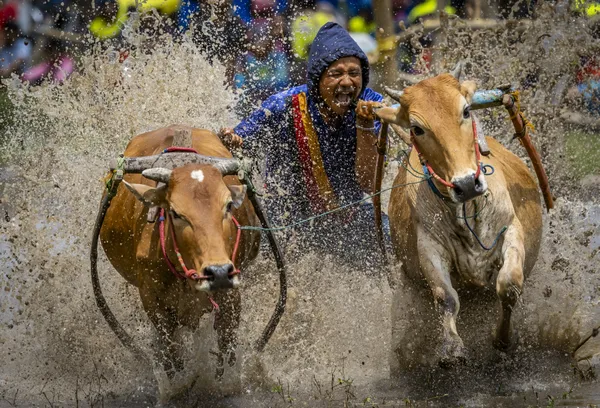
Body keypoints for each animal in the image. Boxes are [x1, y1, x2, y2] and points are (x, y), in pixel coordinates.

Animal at [98, 126, 260, 378]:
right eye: (175, 212)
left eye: (228, 206)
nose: (219, 272)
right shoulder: (153, 303)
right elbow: (172, 358)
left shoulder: (231, 297)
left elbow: (226, 357)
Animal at [380, 73, 544, 366]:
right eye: (417, 128)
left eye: (466, 111)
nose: (467, 183)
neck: (467, 208)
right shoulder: (429, 246)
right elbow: (445, 298)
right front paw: (451, 347)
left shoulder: (511, 228)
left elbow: (509, 285)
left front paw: (503, 339)